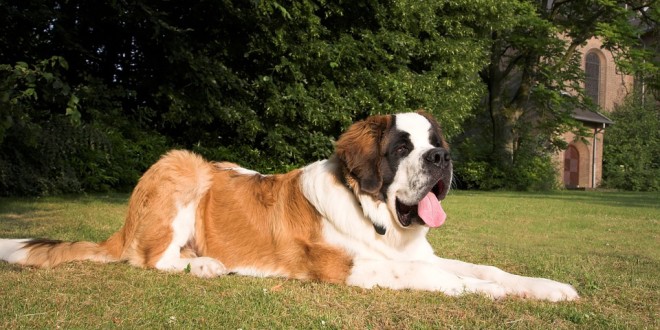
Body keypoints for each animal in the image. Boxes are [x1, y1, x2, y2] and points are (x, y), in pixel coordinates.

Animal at [0, 111, 576, 302]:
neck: (376, 218)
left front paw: (547, 288)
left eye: (435, 142)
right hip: (184, 166)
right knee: (150, 259)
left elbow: (484, 268)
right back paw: (206, 265)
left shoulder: (414, 254)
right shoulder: (347, 266)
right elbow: (442, 278)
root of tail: (122, 224)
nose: (442, 158)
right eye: (401, 148)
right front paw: (487, 293)